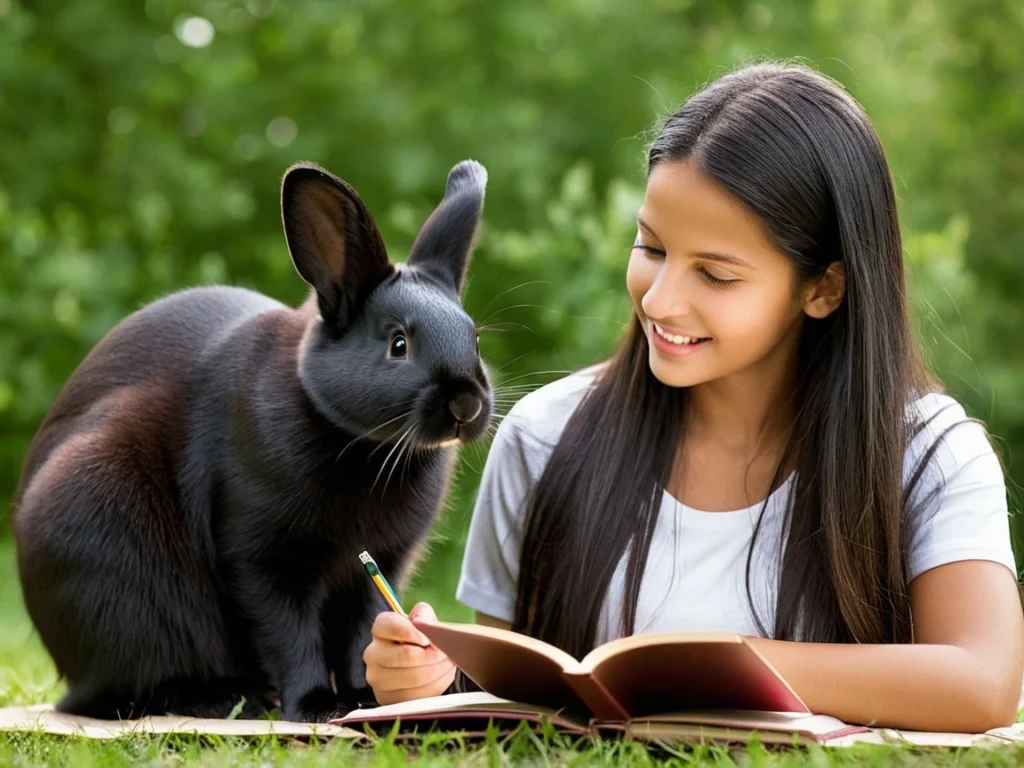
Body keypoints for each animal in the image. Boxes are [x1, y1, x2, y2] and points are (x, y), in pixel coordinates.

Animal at [11, 158, 493, 723]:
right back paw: (229, 699)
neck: (357, 443)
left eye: (474, 337)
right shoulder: (261, 558)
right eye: (399, 344)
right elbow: (289, 634)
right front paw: (315, 707)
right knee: (130, 689)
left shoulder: (380, 564)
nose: (466, 404)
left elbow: (361, 632)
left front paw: (365, 699)